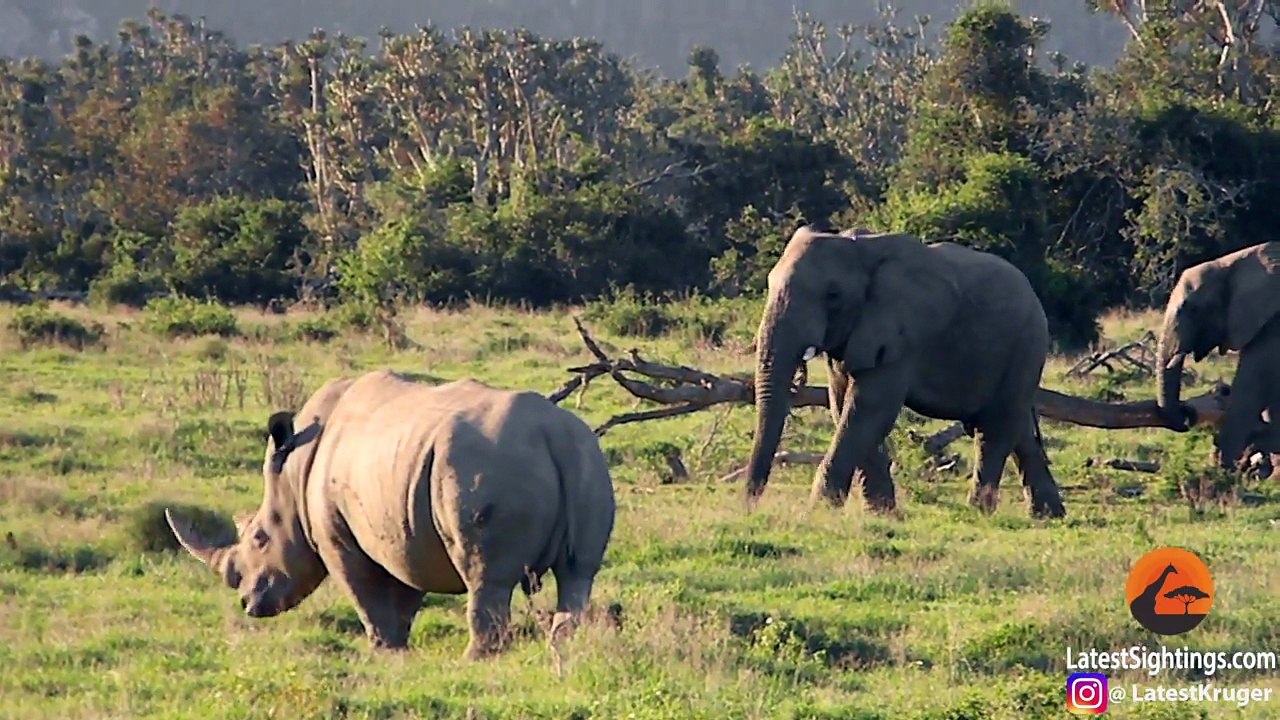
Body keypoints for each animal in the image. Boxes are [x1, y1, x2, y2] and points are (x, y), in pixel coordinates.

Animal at [165, 370, 617, 660]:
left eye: (259, 537)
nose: (249, 605)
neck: (292, 472)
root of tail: (551, 433)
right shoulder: (405, 528)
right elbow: (405, 589)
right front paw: (400, 648)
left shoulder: (336, 538)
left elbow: (365, 594)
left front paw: (382, 651)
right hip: (587, 460)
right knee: (578, 572)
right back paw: (564, 650)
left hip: (485, 466)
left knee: (487, 577)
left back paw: (475, 659)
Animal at [744, 226, 1067, 518]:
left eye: (833, 294)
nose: (749, 505)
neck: (859, 248)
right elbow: (842, 403)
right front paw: (881, 512)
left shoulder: (903, 332)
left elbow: (870, 407)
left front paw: (820, 510)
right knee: (1018, 427)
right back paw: (1049, 515)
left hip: (1026, 344)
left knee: (995, 427)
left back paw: (979, 511)